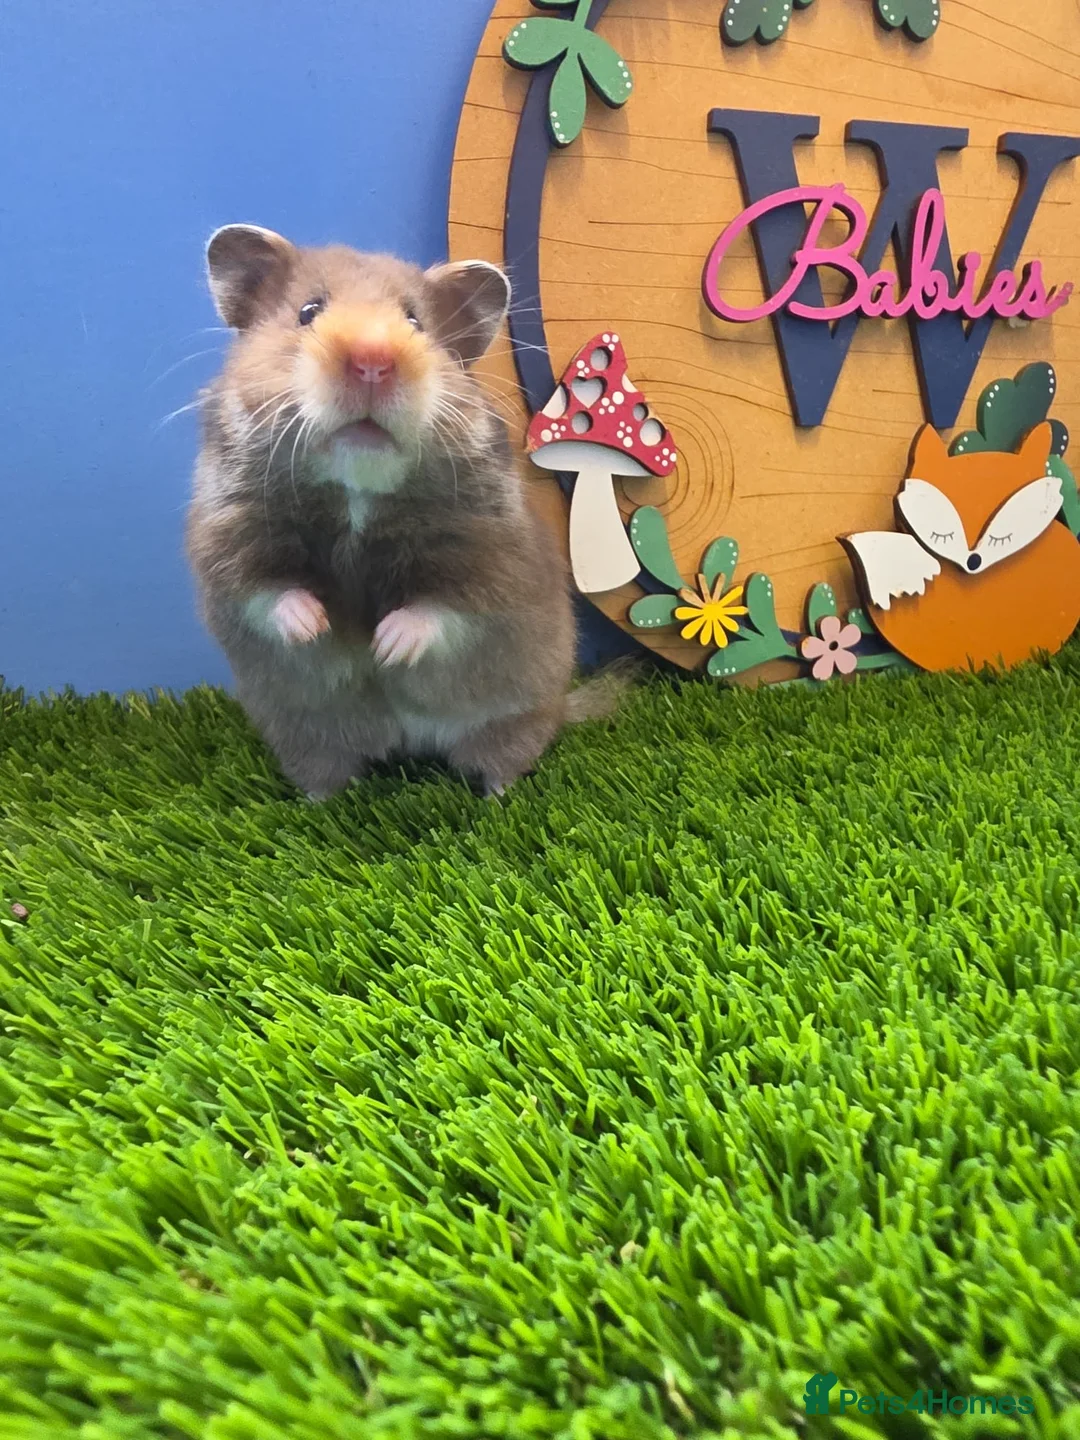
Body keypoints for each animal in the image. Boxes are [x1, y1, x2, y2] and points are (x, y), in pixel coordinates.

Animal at [187, 225, 579, 799]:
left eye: (415, 320)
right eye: (307, 311)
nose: (372, 360)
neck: (358, 484)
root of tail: (403, 742)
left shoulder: (491, 555)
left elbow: (442, 609)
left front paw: (384, 647)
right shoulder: (228, 537)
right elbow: (271, 592)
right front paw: (319, 627)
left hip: (515, 718)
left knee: (501, 761)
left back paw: (499, 798)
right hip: (304, 739)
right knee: (325, 772)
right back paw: (316, 804)